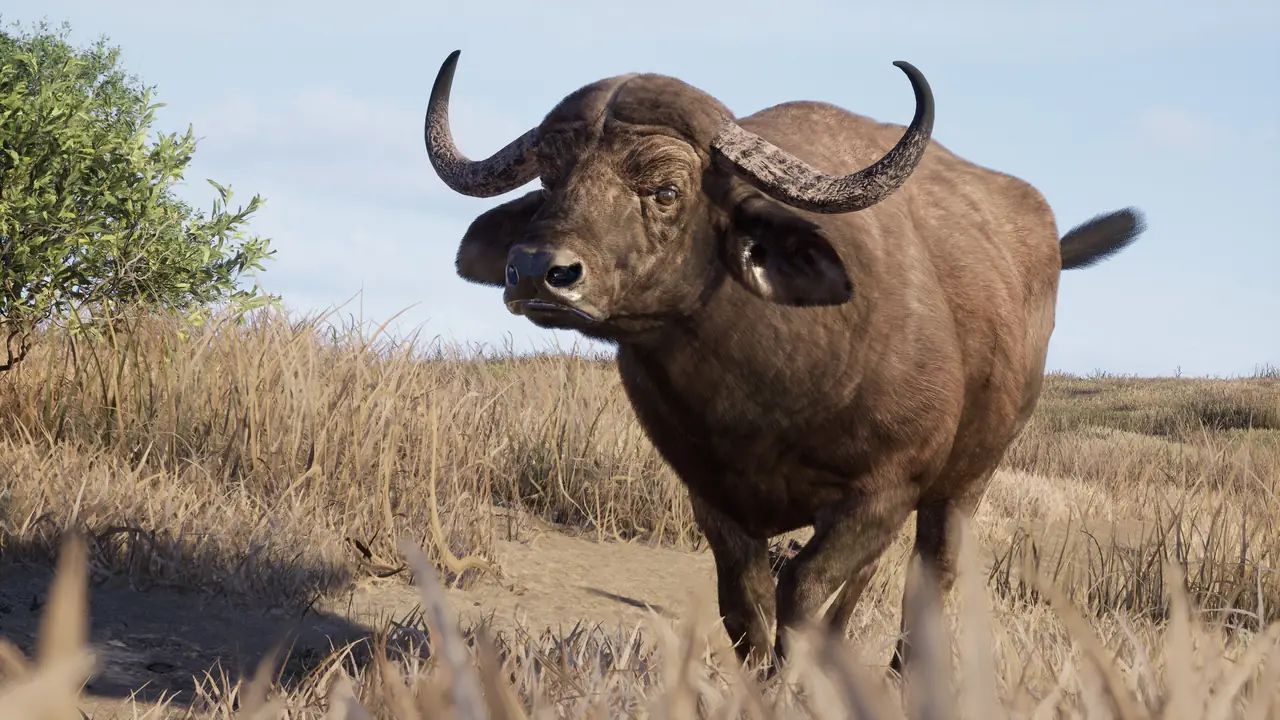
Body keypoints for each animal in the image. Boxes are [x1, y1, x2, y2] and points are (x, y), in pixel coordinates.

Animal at [423, 50, 1145, 672]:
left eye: (665, 189)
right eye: (550, 180)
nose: (536, 271)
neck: (762, 398)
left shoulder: (880, 492)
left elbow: (801, 591)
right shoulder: (713, 499)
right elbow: (746, 607)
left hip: (966, 482)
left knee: (929, 577)